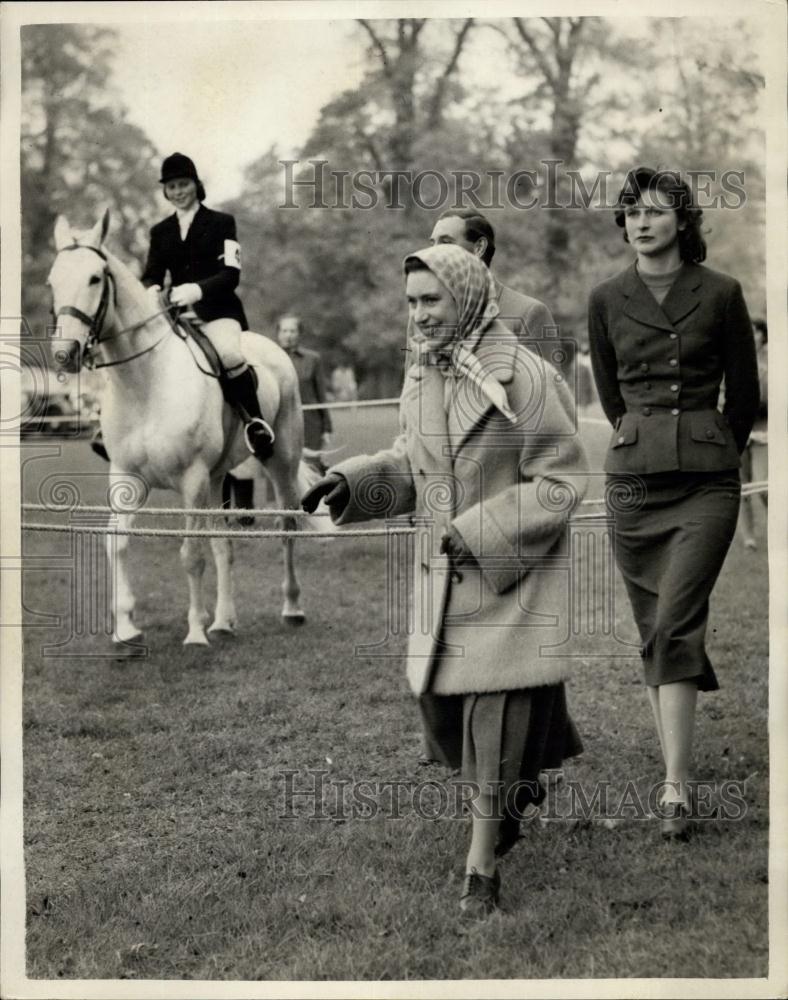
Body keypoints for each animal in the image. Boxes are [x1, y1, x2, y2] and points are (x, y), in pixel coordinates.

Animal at [49, 212, 318, 648]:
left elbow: (191, 555)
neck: (145, 382)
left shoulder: (191, 479)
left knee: (287, 527)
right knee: (225, 543)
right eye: (52, 281)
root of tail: (276, 349)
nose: (65, 355)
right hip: (218, 477)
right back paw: (223, 621)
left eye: (94, 278)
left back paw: (291, 608)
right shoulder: (126, 477)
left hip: (279, 461)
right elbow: (117, 543)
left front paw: (194, 632)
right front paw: (125, 629)